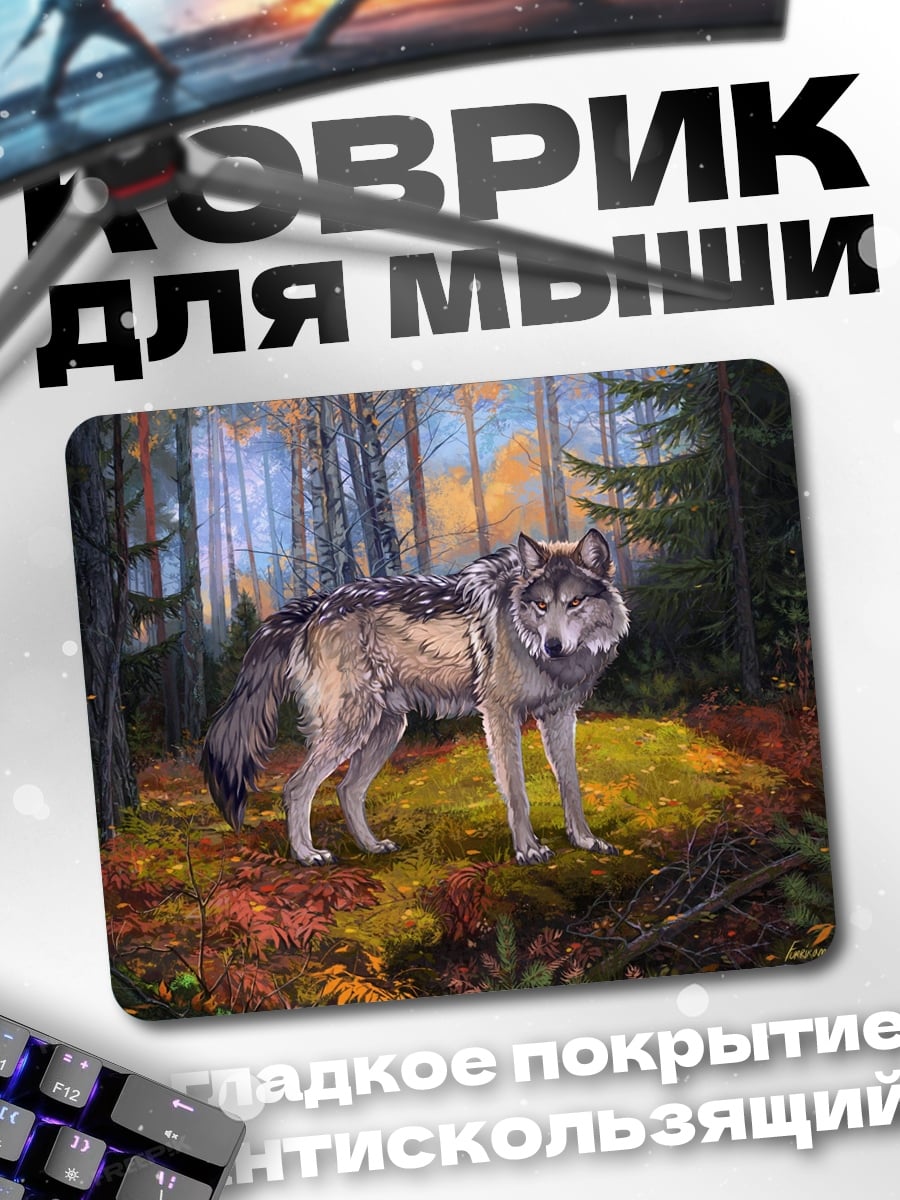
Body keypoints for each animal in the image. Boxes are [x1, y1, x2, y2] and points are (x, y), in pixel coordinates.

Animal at [202, 528, 629, 866]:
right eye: (541, 605)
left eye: (575, 602)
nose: (553, 646)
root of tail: (315, 606)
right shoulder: (500, 714)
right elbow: (517, 791)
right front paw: (528, 850)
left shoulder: (560, 715)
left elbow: (570, 784)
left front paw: (586, 840)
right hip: (352, 726)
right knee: (296, 787)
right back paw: (308, 855)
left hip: (386, 729)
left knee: (346, 790)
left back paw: (372, 847)